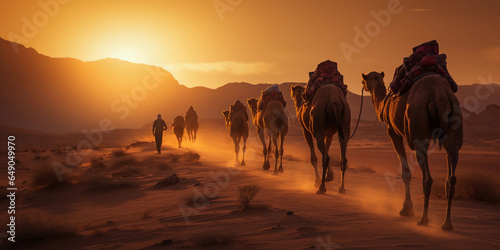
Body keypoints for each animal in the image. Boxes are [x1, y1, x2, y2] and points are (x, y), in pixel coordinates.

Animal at [362, 71, 462, 230]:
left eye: (364, 80)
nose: (362, 84)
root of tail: (439, 96)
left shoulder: (393, 131)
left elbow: (405, 172)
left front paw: (407, 209)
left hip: (418, 130)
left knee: (428, 178)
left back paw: (423, 219)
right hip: (454, 123)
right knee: (451, 171)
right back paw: (447, 224)